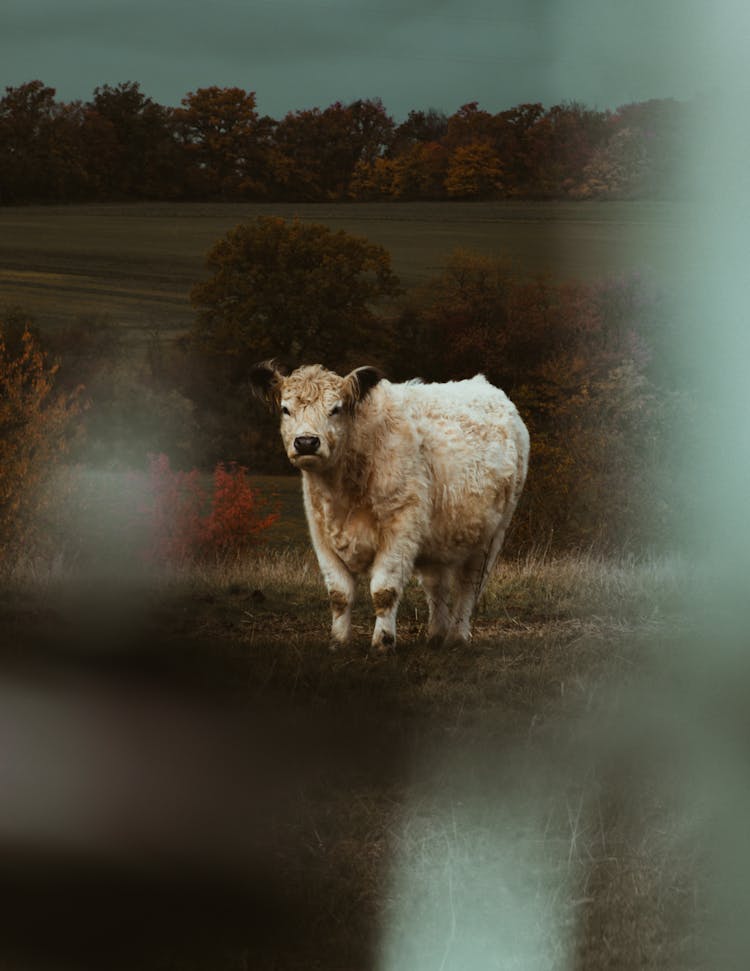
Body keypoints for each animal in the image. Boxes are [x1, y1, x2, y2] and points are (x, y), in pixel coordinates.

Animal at [251, 364, 528, 652]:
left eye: (336, 409)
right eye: (285, 409)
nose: (306, 442)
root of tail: (486, 387)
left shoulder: (400, 529)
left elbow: (384, 591)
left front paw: (382, 642)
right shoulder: (321, 534)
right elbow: (339, 594)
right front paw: (338, 642)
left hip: (491, 535)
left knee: (468, 587)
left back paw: (457, 638)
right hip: (438, 537)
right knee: (437, 587)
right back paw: (435, 636)